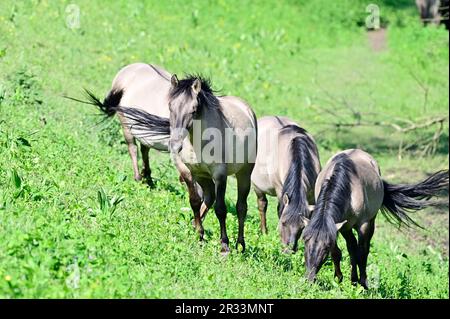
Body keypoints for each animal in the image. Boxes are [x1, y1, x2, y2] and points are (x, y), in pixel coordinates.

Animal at [117, 74, 256, 254]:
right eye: (170, 106)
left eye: (194, 109)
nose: (175, 145)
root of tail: (247, 109)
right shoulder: (189, 172)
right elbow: (195, 201)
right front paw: (199, 235)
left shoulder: (220, 174)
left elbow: (221, 209)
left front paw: (224, 246)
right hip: (204, 177)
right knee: (209, 198)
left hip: (244, 173)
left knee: (241, 207)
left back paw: (240, 245)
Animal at [251, 115, 322, 252]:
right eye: (283, 223)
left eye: (301, 227)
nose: (288, 250)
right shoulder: (280, 190)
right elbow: (279, 210)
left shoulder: (311, 196)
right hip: (257, 187)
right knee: (262, 205)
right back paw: (264, 232)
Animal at [300, 150, 448, 290]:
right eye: (305, 242)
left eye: (325, 248)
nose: (309, 278)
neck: (348, 186)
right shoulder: (343, 226)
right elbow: (339, 252)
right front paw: (339, 279)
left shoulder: (362, 225)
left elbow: (361, 253)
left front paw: (363, 283)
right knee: (352, 247)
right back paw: (353, 280)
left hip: (371, 221)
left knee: (363, 249)